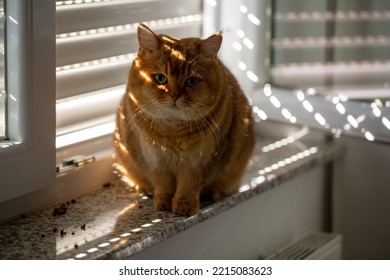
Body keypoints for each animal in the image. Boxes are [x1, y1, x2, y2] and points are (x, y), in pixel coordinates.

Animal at [114, 24, 254, 217]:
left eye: (192, 81)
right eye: (160, 78)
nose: (174, 95)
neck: (172, 129)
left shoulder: (201, 161)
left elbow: (190, 184)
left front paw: (184, 204)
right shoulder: (154, 158)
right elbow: (163, 182)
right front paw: (163, 200)